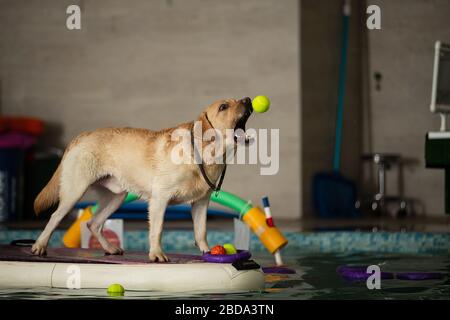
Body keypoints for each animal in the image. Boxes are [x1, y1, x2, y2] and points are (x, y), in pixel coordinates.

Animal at [32, 98, 253, 262]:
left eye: (237, 99)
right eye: (223, 107)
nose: (248, 99)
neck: (204, 152)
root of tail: (82, 135)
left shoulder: (201, 202)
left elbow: (201, 231)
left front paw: (208, 252)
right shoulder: (160, 198)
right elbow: (157, 229)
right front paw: (156, 254)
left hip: (116, 197)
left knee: (93, 223)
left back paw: (110, 248)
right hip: (75, 191)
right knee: (55, 217)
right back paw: (39, 246)